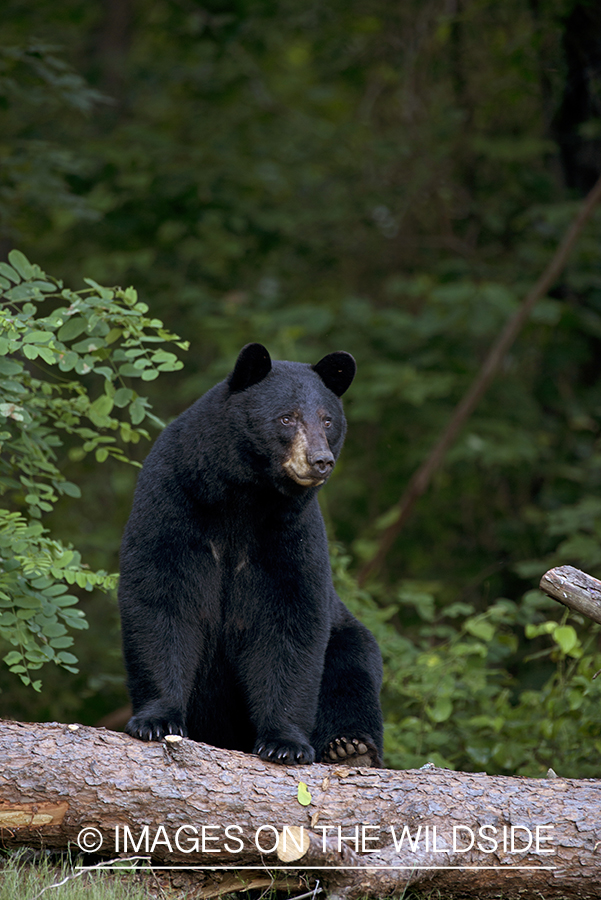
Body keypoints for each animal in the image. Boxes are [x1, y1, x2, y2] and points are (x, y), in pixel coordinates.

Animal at [119, 344, 382, 768]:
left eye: (327, 419)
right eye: (287, 417)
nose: (320, 460)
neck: (245, 498)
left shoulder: (290, 534)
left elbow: (291, 622)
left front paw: (284, 742)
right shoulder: (173, 506)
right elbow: (161, 600)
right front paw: (156, 720)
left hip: (349, 637)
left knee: (351, 676)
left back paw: (350, 747)